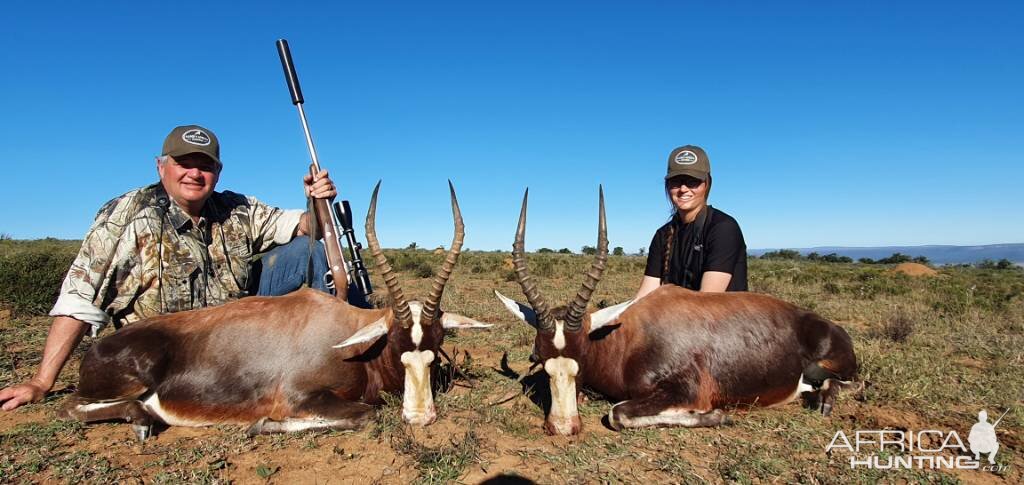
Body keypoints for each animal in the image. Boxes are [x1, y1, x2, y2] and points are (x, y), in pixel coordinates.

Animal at [61, 181, 489, 439]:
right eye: (397, 346)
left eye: (436, 346)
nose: (420, 417)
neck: (350, 338)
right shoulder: (299, 397)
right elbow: (366, 413)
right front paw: (259, 424)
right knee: (73, 405)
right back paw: (142, 420)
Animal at [493, 188, 856, 435]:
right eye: (540, 360)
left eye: (581, 360)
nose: (563, 427)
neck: (626, 338)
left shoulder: (685, 390)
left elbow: (617, 413)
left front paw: (716, 415)